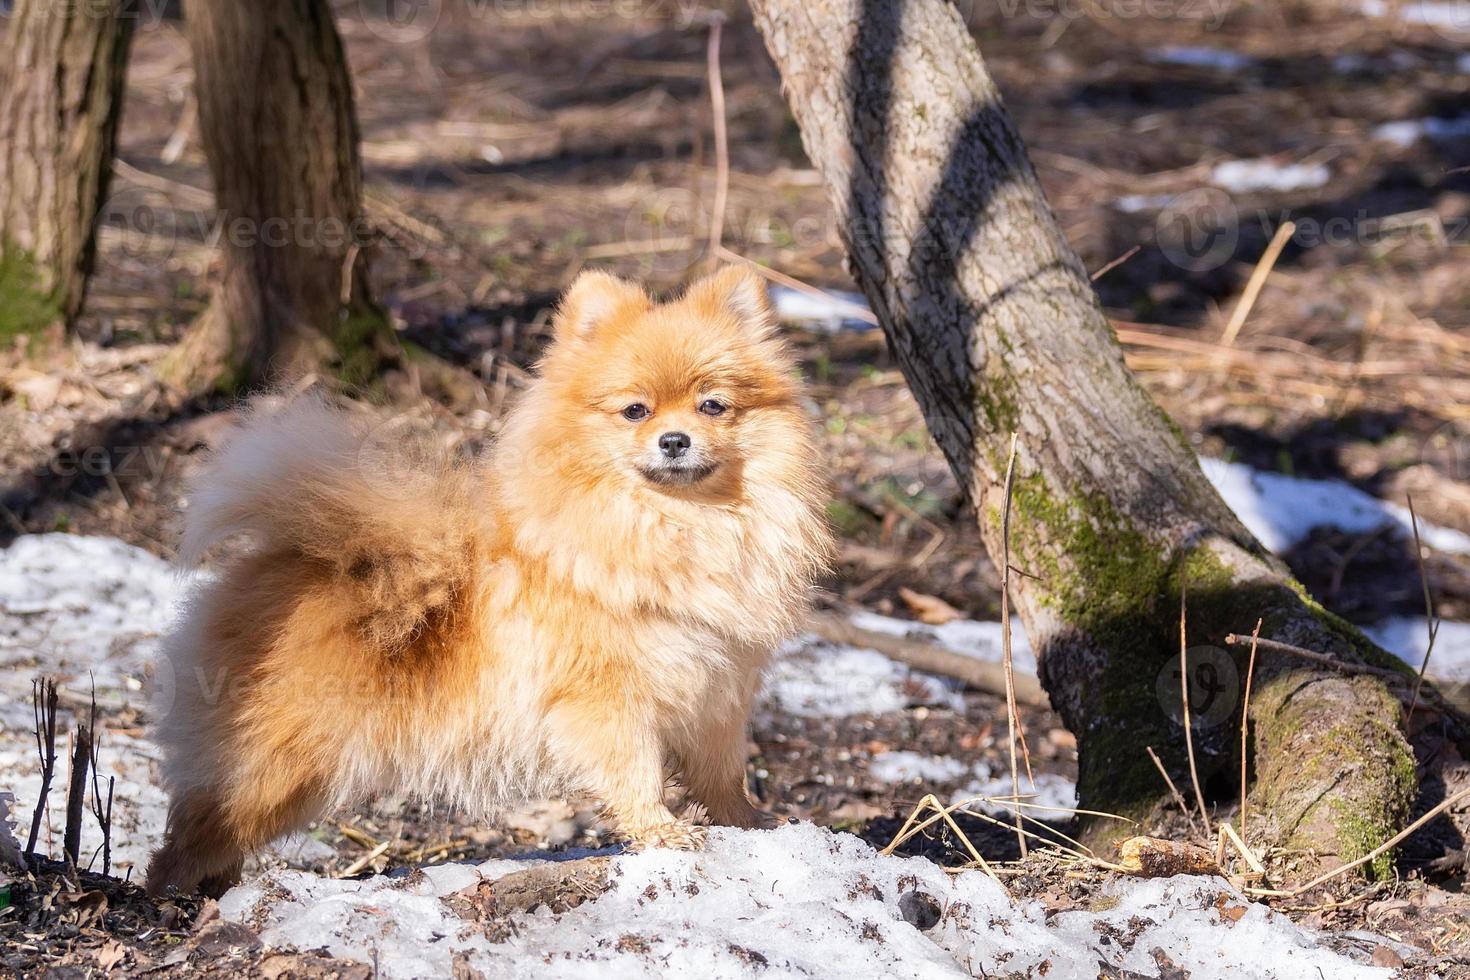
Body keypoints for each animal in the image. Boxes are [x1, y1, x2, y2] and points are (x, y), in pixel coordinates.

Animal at [149, 265, 840, 899]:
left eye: (712, 405)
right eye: (634, 411)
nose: (674, 439)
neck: (679, 526)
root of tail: (280, 560)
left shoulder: (717, 691)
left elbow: (723, 775)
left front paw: (752, 824)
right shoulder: (608, 699)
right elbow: (635, 771)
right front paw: (662, 830)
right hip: (275, 767)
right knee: (193, 834)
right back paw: (169, 900)